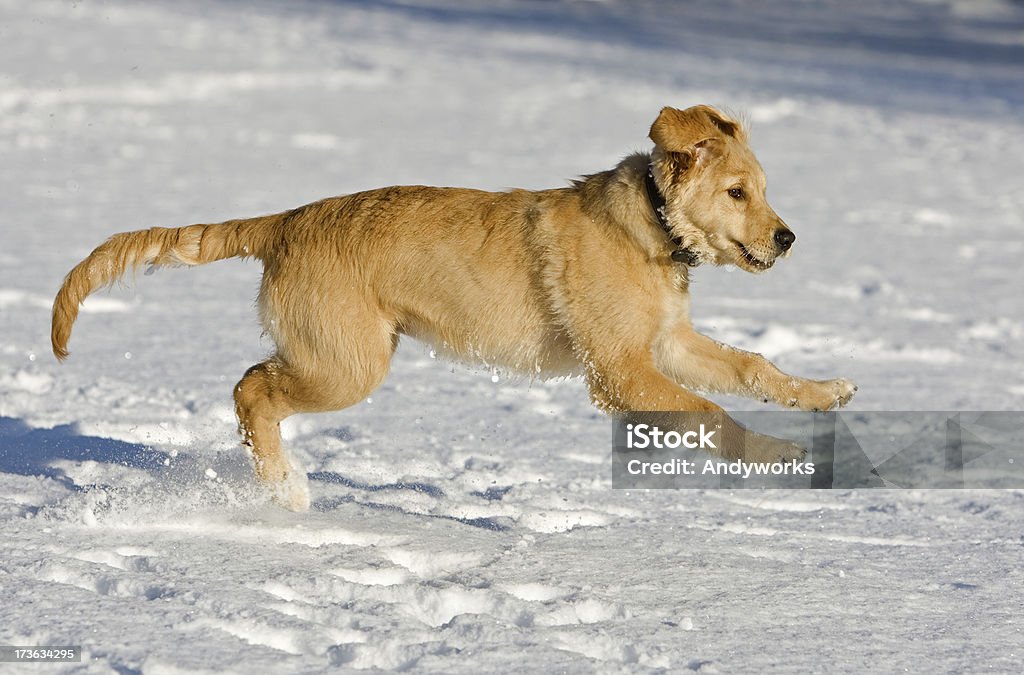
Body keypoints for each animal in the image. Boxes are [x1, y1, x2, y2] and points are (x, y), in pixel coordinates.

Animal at [54, 104, 856, 508]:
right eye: (736, 193)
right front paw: (780, 456)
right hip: (348, 362)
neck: (653, 226)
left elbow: (751, 366)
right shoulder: (620, 371)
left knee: (253, 384)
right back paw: (284, 488)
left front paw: (821, 394)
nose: (787, 238)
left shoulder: (665, 344)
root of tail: (284, 222)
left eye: (764, 188)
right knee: (250, 389)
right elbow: (712, 413)